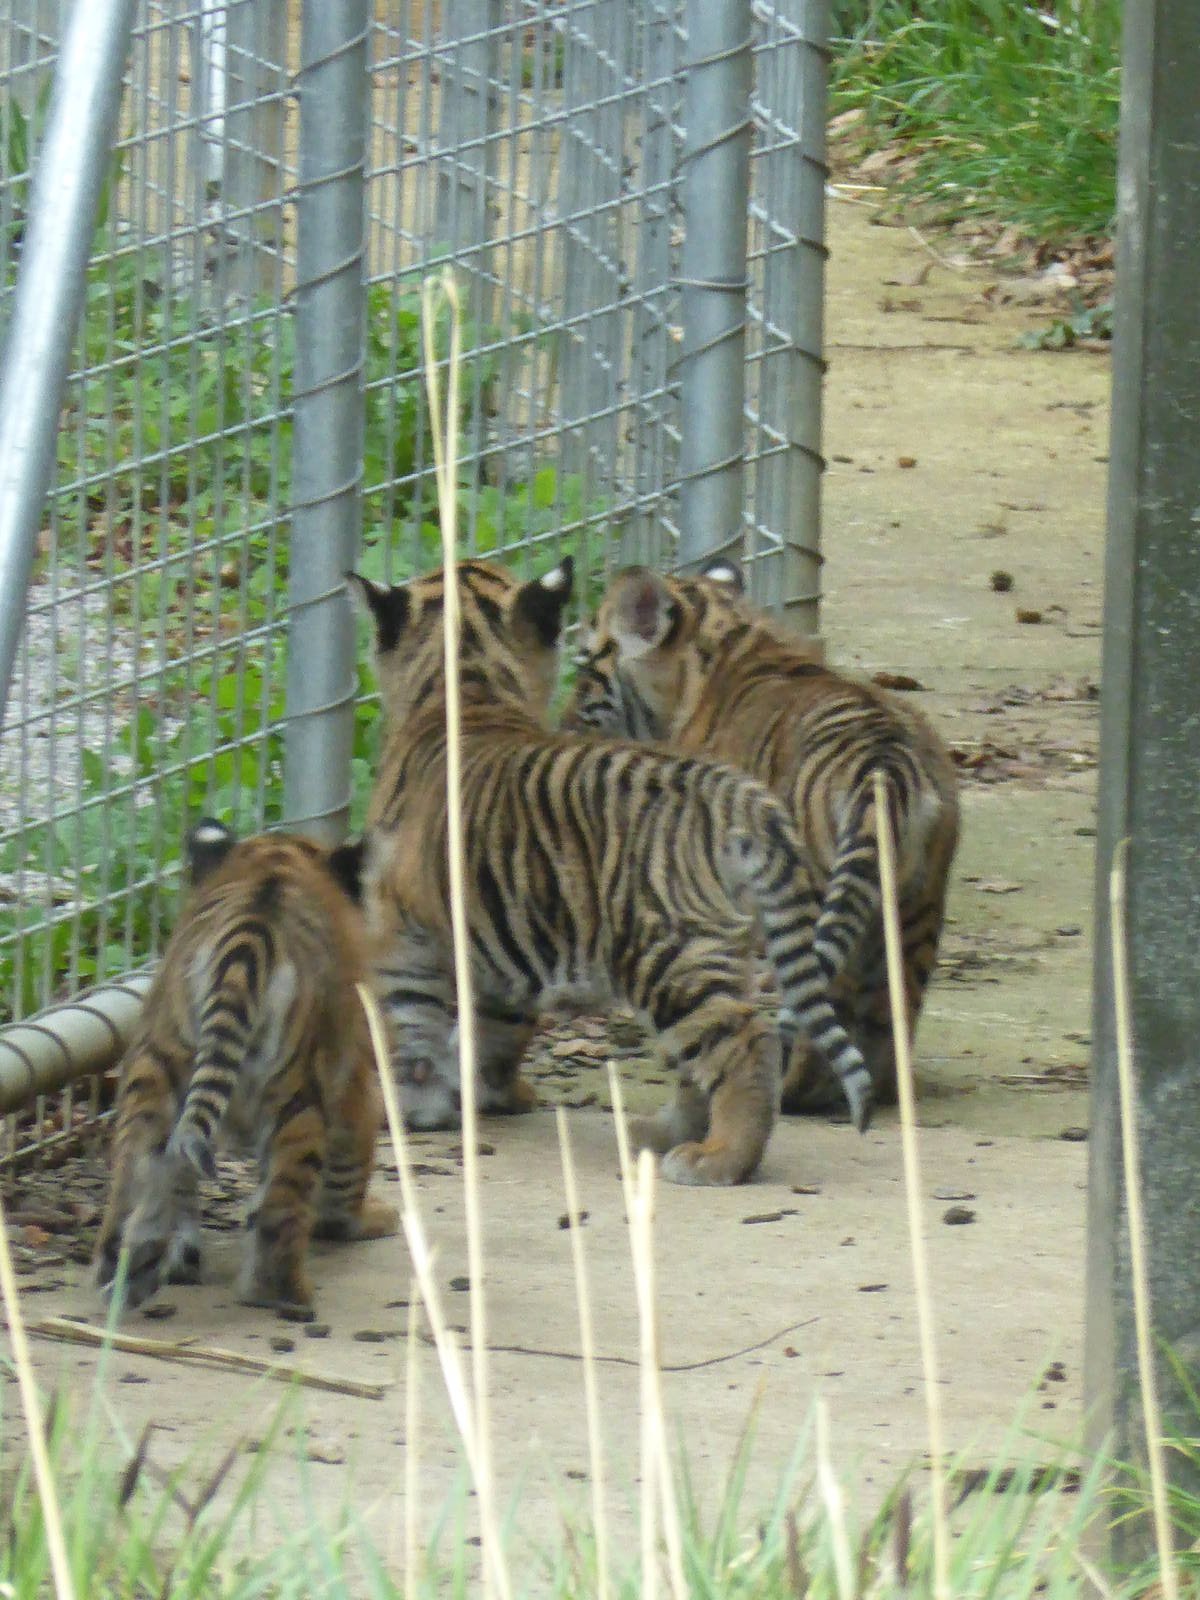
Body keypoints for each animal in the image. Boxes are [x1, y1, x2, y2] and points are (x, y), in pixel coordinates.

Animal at [95, 820, 398, 1320]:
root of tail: (249, 935)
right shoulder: (354, 1079)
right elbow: (348, 1166)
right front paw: (366, 1218)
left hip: (156, 1063)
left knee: (137, 1166)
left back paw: (126, 1273)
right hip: (298, 1094)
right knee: (282, 1205)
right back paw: (284, 1294)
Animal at [345, 556, 873, 1188]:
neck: (470, 687)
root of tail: (733, 793)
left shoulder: (403, 931)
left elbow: (410, 1024)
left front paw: (412, 1107)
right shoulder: (496, 945)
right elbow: (494, 1030)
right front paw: (493, 1095)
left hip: (666, 951)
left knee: (746, 1042)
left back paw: (718, 1158)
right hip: (718, 948)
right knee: (703, 1054)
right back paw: (663, 1132)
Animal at [563, 560, 960, 1113]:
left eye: (585, 670)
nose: (562, 724)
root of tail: (885, 765)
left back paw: (792, 1089)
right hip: (918, 907)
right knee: (889, 1014)